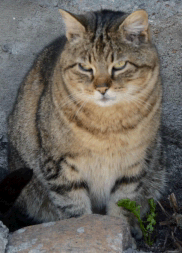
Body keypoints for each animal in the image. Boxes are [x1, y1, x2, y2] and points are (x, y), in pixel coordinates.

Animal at [7, 8, 166, 237]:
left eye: (119, 65)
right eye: (84, 67)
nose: (101, 88)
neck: (108, 125)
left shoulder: (134, 164)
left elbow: (123, 206)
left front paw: (124, 231)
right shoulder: (59, 166)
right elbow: (76, 211)